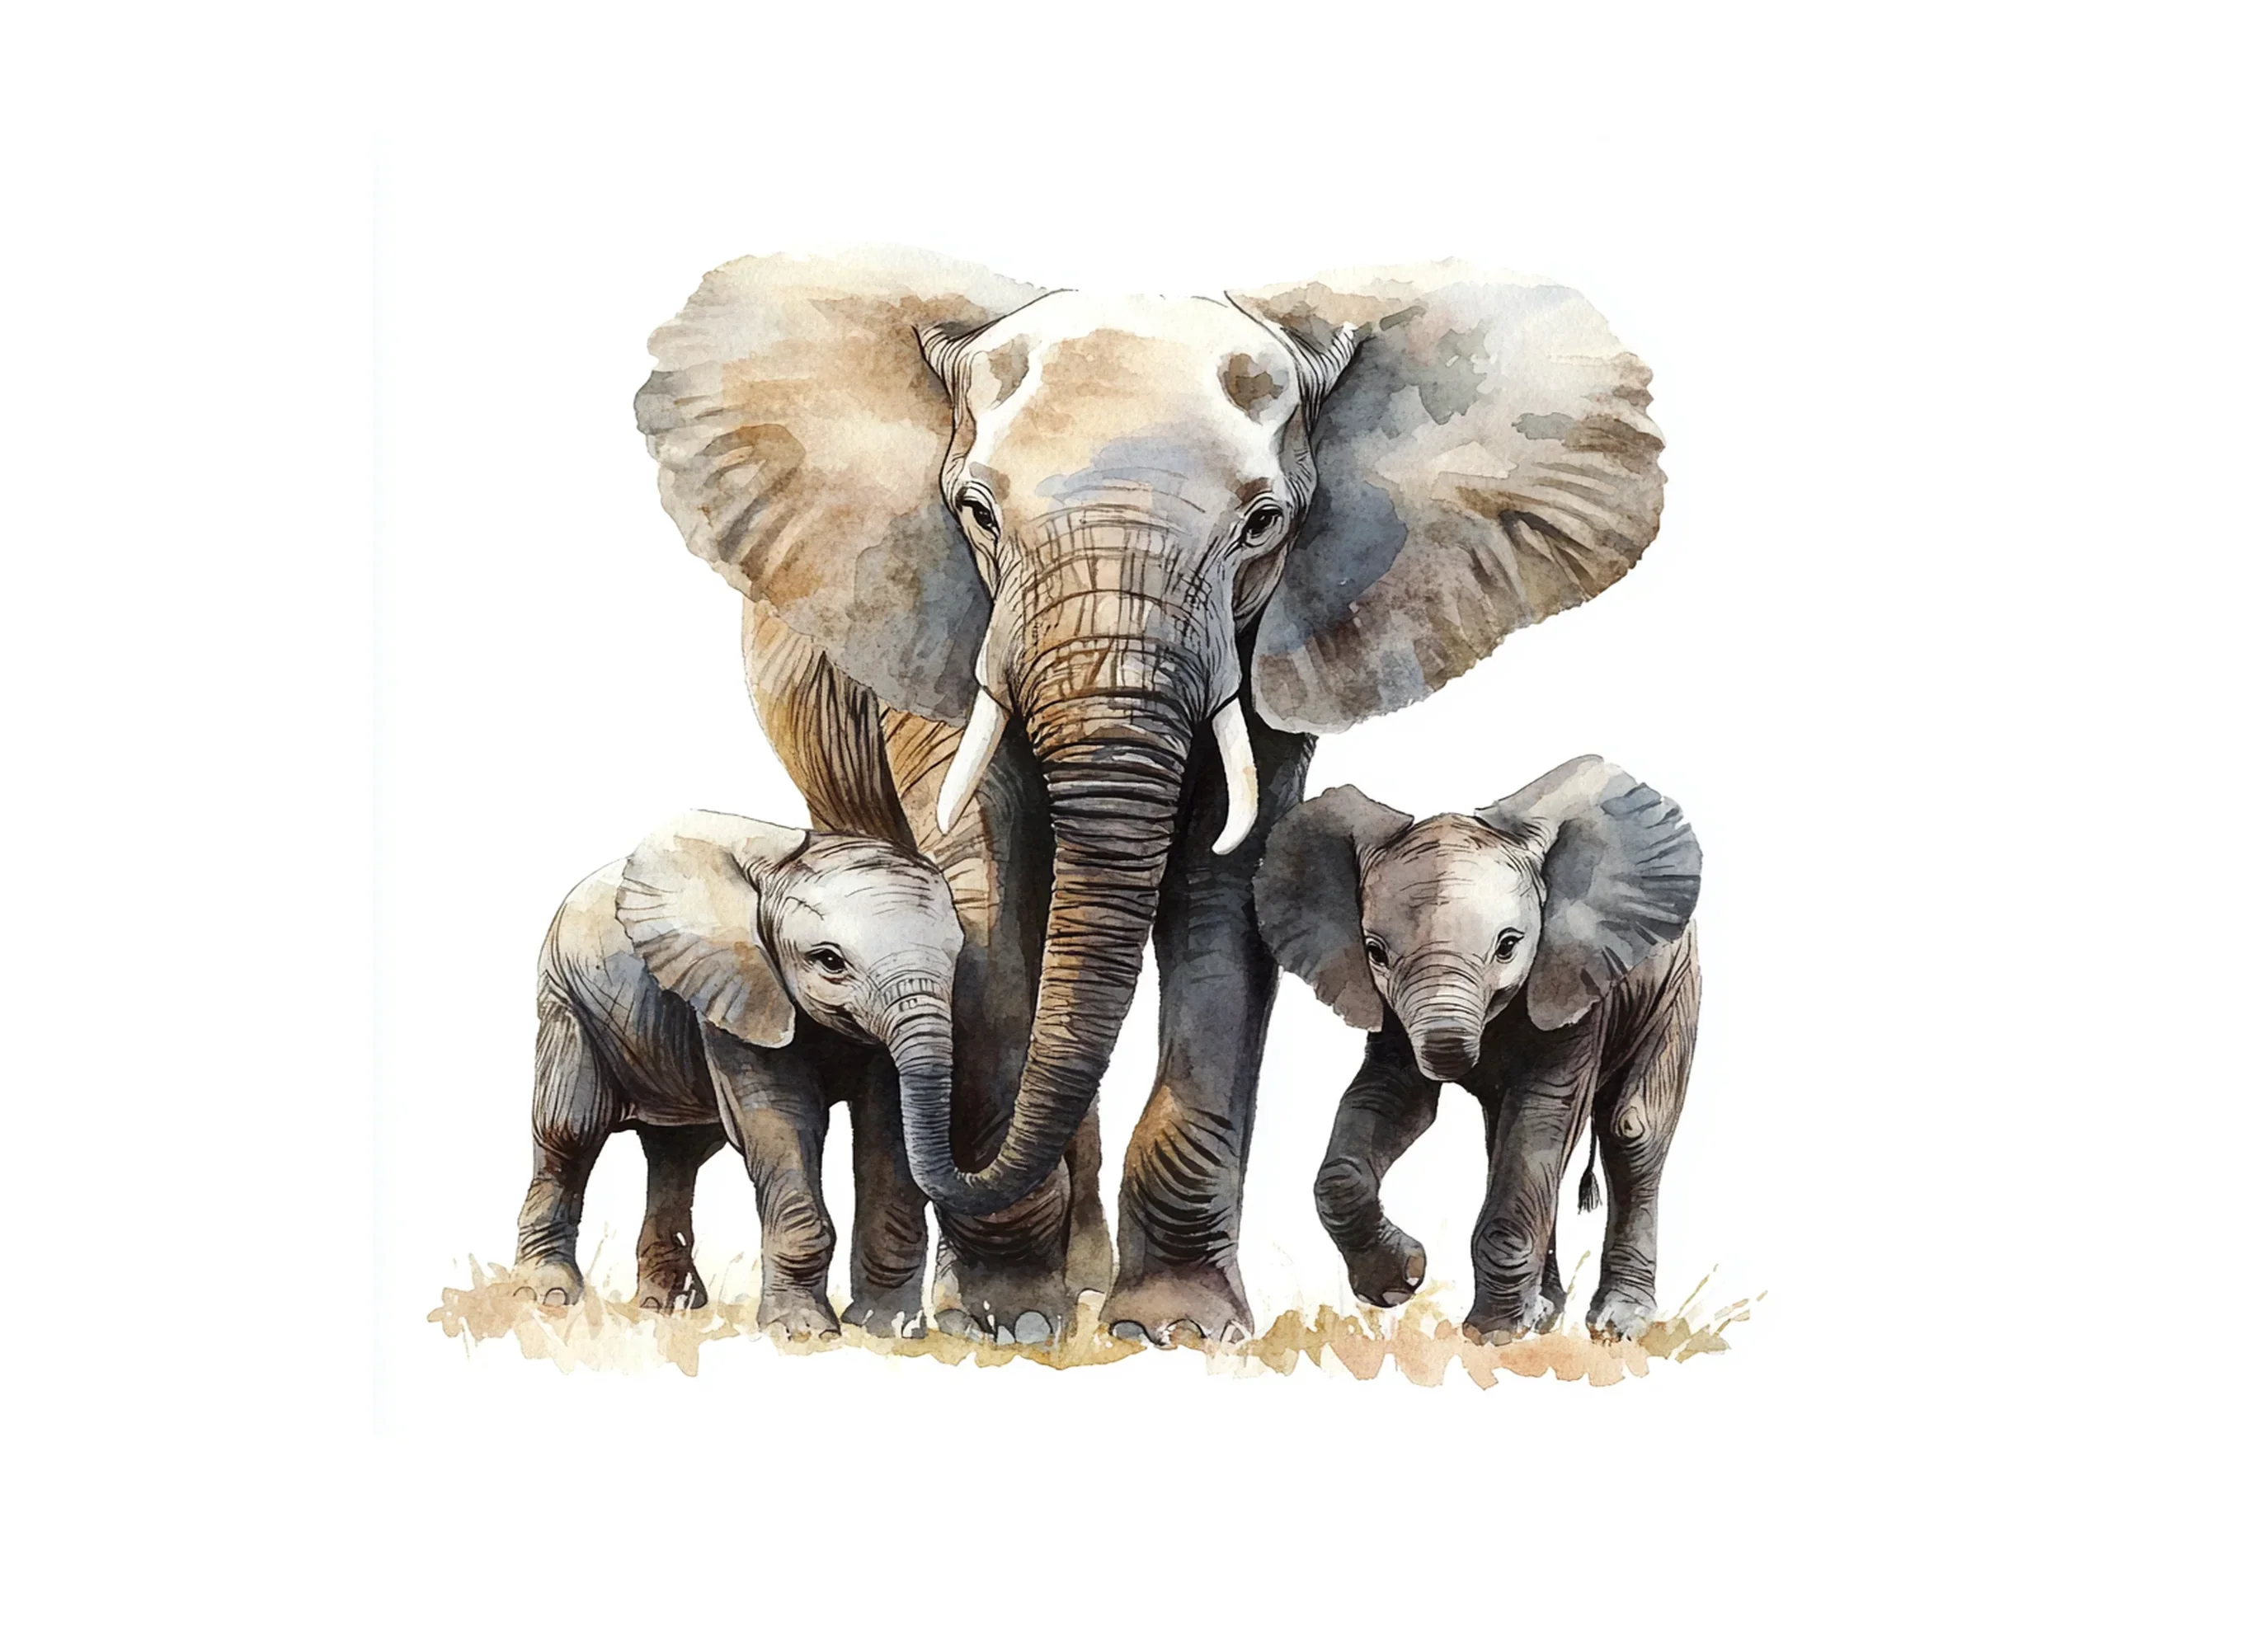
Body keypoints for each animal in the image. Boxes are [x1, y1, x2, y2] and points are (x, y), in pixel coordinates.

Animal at [511, 811, 962, 1340]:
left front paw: (886, 1329)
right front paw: (803, 1333)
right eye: (829, 961)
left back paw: (670, 1306)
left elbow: (886, 1128)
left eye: (957, 956)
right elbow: (781, 1119)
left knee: (678, 1156)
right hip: (566, 999)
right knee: (569, 1133)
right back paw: (546, 1295)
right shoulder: (736, 988)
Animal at [1254, 757, 1701, 1341]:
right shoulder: (1392, 1011)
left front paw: (1490, 1336)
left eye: (1508, 946)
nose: (1457, 1057)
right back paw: (1543, 1313)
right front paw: (1402, 1278)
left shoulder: (1573, 982)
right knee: (1507, 1142)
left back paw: (1617, 1324)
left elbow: (1543, 1112)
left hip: (1676, 985)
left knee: (1631, 1132)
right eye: (1375, 952)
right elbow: (1391, 1100)